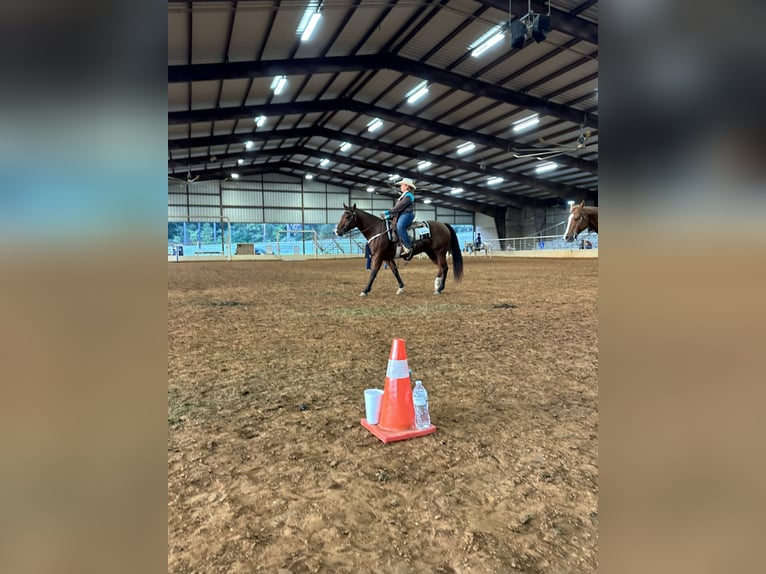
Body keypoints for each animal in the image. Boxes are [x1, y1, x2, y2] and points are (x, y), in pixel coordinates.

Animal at [335, 204, 463, 296]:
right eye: (341, 216)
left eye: (347, 217)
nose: (337, 231)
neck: (377, 230)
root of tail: (444, 225)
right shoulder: (387, 258)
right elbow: (395, 272)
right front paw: (401, 288)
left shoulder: (378, 256)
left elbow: (373, 272)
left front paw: (365, 290)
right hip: (431, 253)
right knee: (440, 267)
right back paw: (436, 285)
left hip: (440, 252)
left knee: (444, 268)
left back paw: (440, 289)